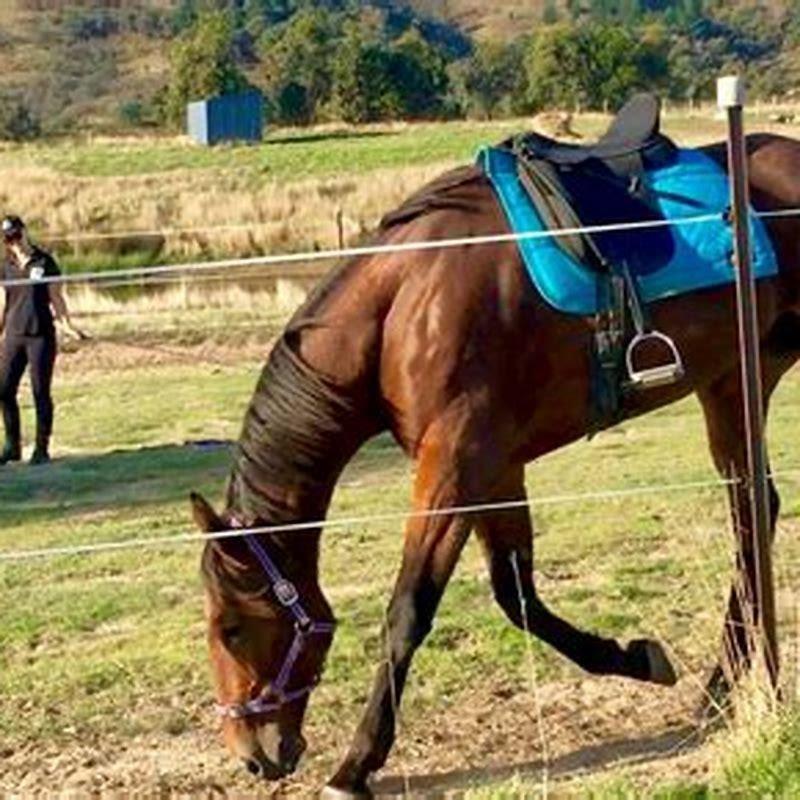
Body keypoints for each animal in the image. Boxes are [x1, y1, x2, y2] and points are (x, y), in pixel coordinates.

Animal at [191, 131, 800, 798]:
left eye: (231, 628)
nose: (253, 755)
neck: (405, 303)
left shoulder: (455, 463)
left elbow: (408, 611)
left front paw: (357, 762)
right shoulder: (495, 468)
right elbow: (518, 595)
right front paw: (635, 656)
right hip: (733, 382)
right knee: (753, 511)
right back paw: (721, 687)